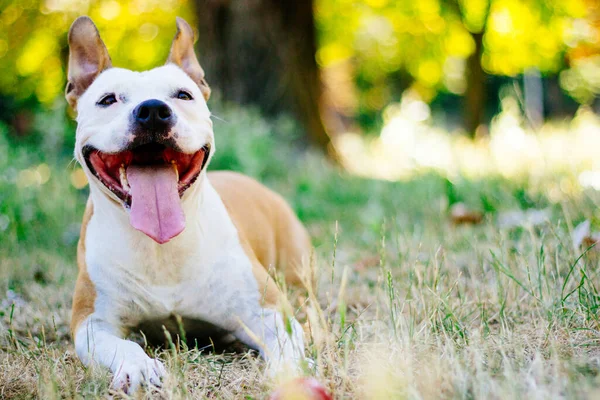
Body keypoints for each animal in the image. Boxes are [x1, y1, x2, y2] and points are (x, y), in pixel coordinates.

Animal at [67, 17, 312, 392]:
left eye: (183, 95)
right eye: (107, 100)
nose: (153, 110)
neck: (161, 249)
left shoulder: (270, 309)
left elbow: (284, 341)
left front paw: (290, 371)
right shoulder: (91, 322)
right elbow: (120, 344)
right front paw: (138, 366)